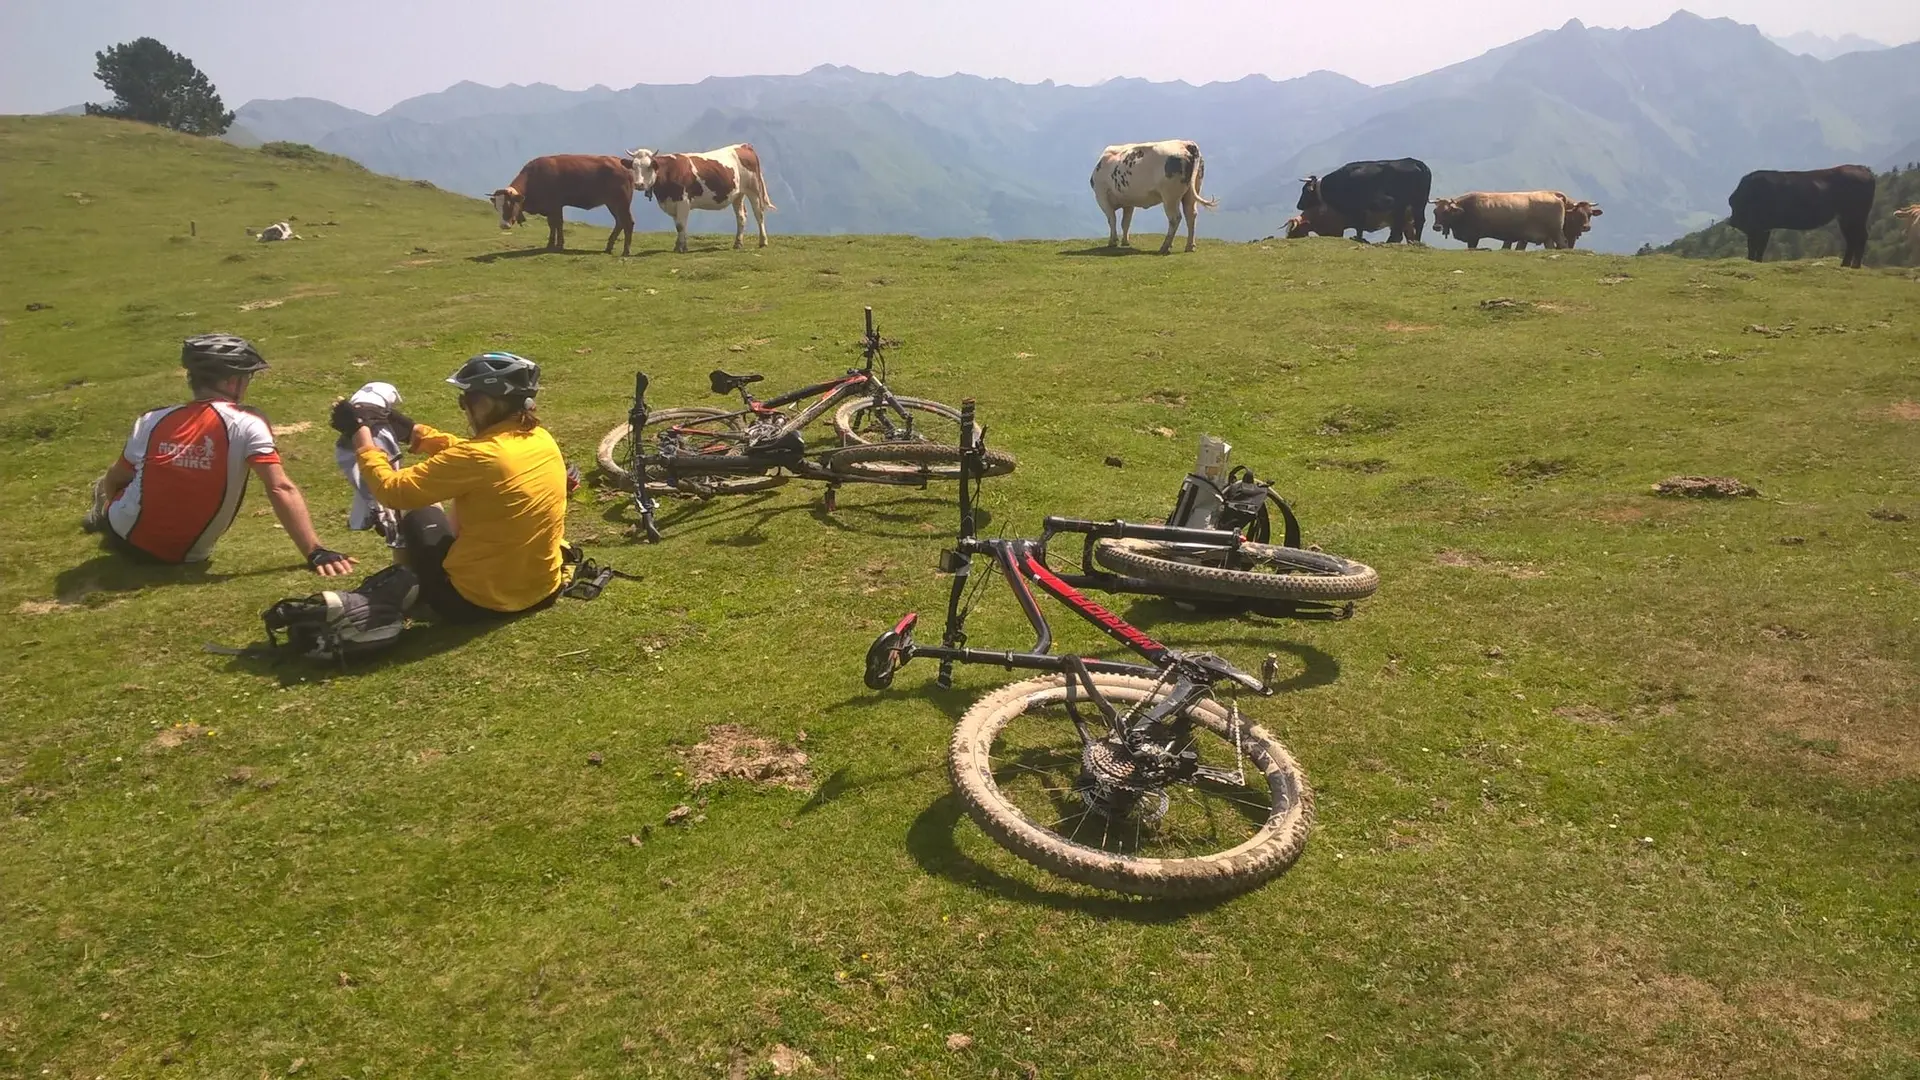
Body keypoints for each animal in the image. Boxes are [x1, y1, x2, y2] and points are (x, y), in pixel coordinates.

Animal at [491, 152, 641, 253]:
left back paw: (626, 251)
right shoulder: (550, 207)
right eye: (497, 207)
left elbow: (557, 224)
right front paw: (551, 244)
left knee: (628, 222)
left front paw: (559, 245)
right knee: (619, 222)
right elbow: (552, 225)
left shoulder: (555, 205)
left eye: (510, 205)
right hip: (612, 203)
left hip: (622, 202)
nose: (503, 225)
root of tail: (622, 163)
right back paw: (608, 247)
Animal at [1090, 139, 1221, 253]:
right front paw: (1125, 241)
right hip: (1191, 192)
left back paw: (1165, 247)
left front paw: (1112, 241)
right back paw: (1190, 246)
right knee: (1191, 215)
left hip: (1170, 195)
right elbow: (1126, 222)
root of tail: (1185, 143)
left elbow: (1112, 219)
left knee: (1175, 218)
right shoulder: (1129, 202)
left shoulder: (1101, 196)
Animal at [1297, 157, 1436, 242]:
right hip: (1412, 204)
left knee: (1415, 221)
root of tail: (1416, 162)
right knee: (1408, 222)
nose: (1299, 205)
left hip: (1413, 202)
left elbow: (1359, 226)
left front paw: (1358, 238)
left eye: (1305, 190)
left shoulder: (1359, 208)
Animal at [1728, 168, 1873, 270]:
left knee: (1860, 237)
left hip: (1856, 216)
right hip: (1846, 218)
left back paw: (1855, 266)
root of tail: (1863, 169)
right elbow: (1758, 248)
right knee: (1851, 239)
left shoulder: (1758, 227)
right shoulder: (1763, 228)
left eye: (1735, 205)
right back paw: (1845, 265)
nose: (1732, 221)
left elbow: (1755, 247)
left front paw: (1753, 261)